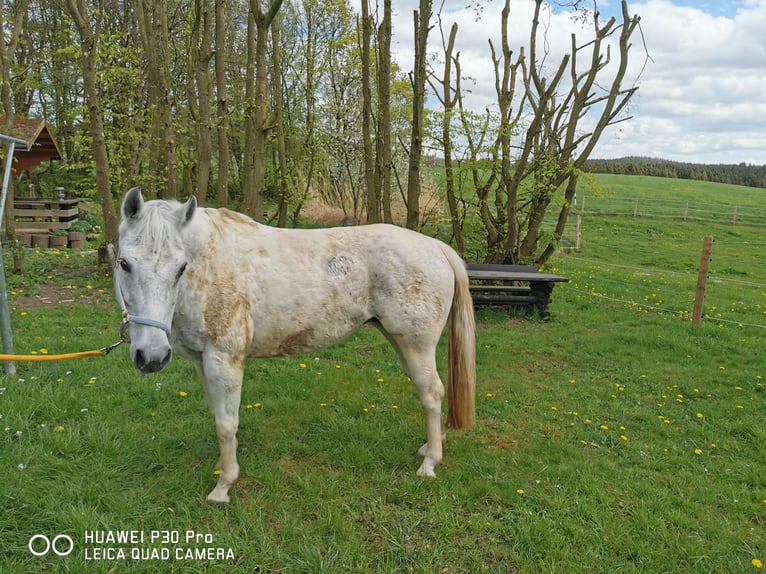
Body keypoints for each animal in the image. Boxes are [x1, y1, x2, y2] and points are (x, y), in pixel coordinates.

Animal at [115, 189, 474, 504]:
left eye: (180, 267)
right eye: (124, 264)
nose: (151, 356)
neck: (211, 264)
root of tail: (435, 247)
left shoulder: (224, 359)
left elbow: (226, 424)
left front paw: (224, 485)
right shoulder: (201, 360)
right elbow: (218, 414)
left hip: (417, 345)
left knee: (432, 394)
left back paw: (429, 463)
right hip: (402, 344)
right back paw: (429, 448)